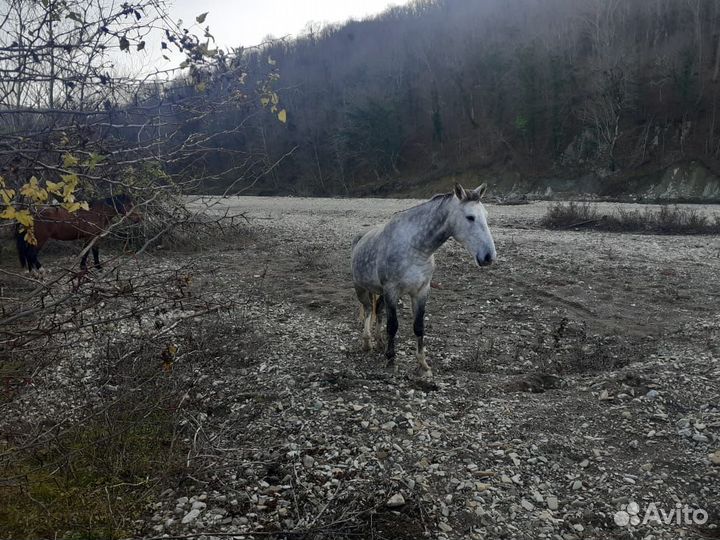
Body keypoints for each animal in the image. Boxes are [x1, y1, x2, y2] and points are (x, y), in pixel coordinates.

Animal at [351, 182, 496, 377]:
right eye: (470, 217)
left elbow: (418, 326)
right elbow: (393, 325)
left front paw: (423, 365)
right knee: (367, 309)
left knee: (377, 310)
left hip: (380, 292)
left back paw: (379, 341)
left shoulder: (421, 291)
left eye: (486, 215)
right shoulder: (391, 291)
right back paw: (367, 342)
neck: (414, 247)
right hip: (360, 287)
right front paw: (391, 360)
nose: (489, 256)